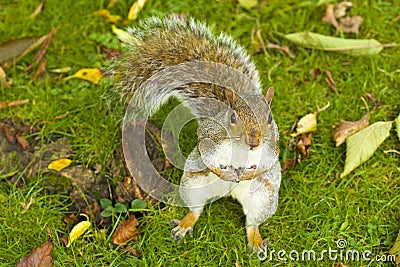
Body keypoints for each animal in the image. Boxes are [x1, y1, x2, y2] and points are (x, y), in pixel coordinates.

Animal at [112, 15, 282, 254]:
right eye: (233, 118)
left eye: (269, 118)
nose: (254, 141)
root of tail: (227, 194)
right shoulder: (210, 138)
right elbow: (208, 157)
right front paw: (226, 173)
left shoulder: (270, 148)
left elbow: (266, 164)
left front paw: (248, 174)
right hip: (194, 186)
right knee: (196, 209)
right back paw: (185, 225)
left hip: (262, 198)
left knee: (252, 223)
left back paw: (256, 241)